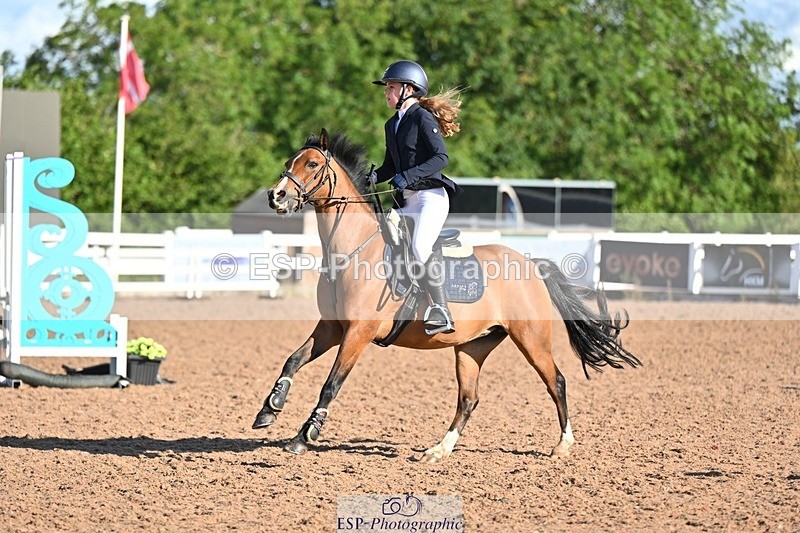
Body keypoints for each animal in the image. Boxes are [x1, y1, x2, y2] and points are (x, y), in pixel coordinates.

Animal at [252, 128, 640, 462]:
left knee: (555, 381)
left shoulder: (358, 333)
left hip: (531, 338)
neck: (354, 250)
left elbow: (331, 384)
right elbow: (293, 360)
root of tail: (530, 265)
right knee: (468, 399)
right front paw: (269, 409)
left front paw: (304, 436)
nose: (276, 196)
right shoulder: (333, 327)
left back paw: (563, 444)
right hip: (472, 347)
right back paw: (438, 450)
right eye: (290, 162)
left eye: (312, 165)